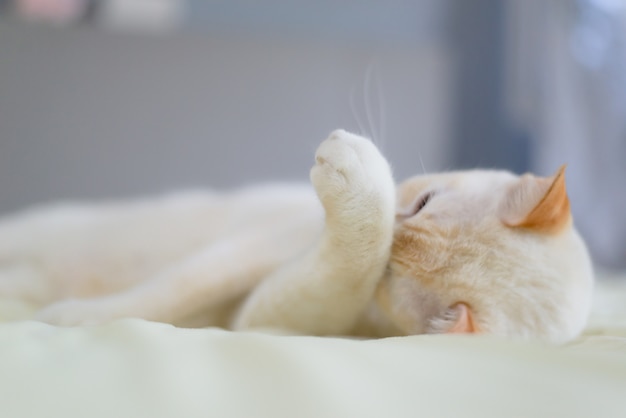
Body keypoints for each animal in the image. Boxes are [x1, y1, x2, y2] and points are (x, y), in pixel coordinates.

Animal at [0, 131, 592, 342]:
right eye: (424, 201)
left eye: (390, 278)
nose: (399, 225)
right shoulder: (262, 246)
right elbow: (173, 290)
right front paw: (82, 318)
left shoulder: (265, 314)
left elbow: (338, 272)